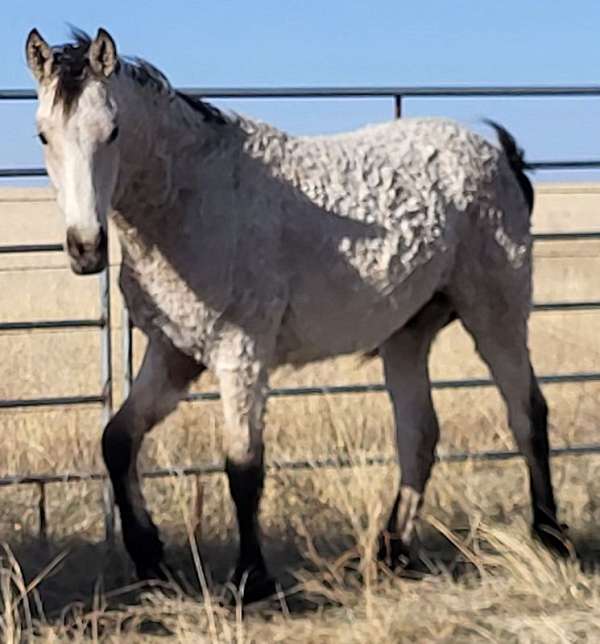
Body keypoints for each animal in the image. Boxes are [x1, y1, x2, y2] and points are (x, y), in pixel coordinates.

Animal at [25, 27, 568, 600]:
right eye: (43, 135)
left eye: (112, 131)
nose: (86, 247)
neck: (194, 196)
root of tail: (501, 157)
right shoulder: (174, 354)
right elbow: (118, 440)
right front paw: (150, 557)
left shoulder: (240, 354)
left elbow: (243, 467)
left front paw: (251, 579)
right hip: (407, 333)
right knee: (418, 435)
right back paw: (391, 552)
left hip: (496, 311)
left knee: (527, 415)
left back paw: (550, 539)